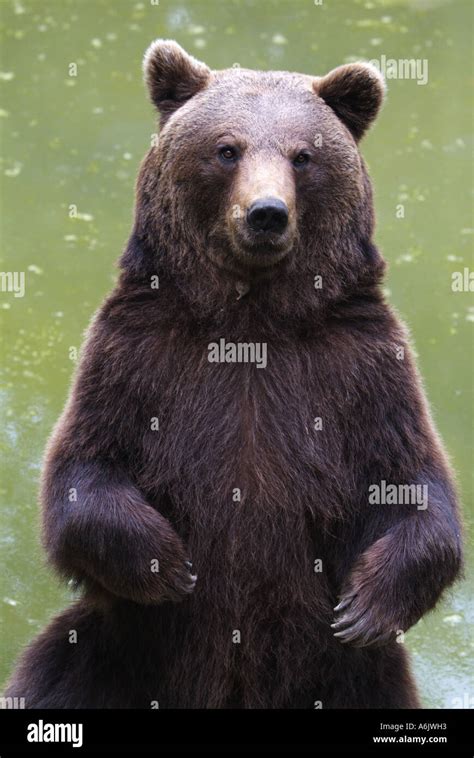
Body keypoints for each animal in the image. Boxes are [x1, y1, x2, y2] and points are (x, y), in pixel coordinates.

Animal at [4, 40, 462, 708]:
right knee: (53, 677)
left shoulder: (363, 368)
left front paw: (364, 606)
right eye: (227, 148)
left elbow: (414, 486)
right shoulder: (136, 356)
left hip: (356, 680)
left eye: (303, 155)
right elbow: (84, 473)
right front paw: (169, 565)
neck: (252, 320)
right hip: (107, 657)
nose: (266, 214)